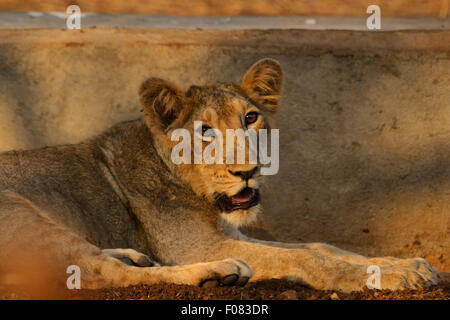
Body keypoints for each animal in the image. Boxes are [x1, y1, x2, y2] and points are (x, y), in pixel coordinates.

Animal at [0, 58, 438, 292]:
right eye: (205, 131)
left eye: (251, 118)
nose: (248, 171)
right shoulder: (197, 245)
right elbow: (306, 256)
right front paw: (392, 274)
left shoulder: (232, 233)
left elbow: (321, 246)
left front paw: (406, 264)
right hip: (20, 209)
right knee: (99, 273)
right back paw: (218, 273)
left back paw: (135, 256)